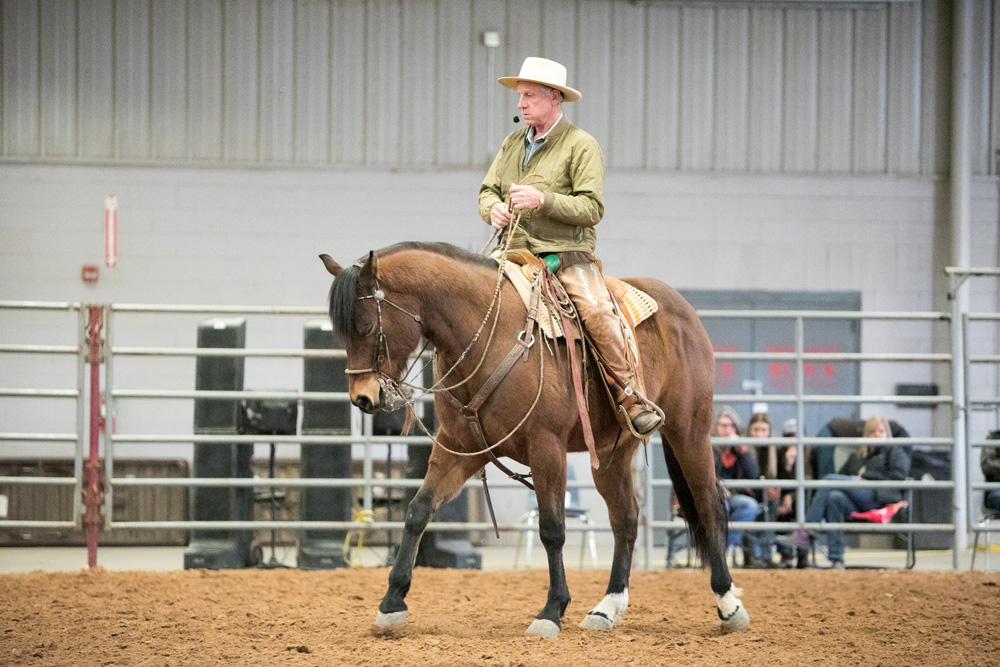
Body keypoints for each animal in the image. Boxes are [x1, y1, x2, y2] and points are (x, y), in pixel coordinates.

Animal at [316, 243, 748, 640]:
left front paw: (551, 610)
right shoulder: (459, 448)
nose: (362, 398)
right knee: (626, 517)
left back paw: (728, 604)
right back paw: (606, 608)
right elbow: (418, 511)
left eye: (367, 326)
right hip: (612, 453)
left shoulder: (547, 448)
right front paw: (391, 603)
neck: (487, 335)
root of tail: (682, 308)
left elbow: (552, 528)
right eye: (340, 334)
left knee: (709, 504)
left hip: (690, 430)